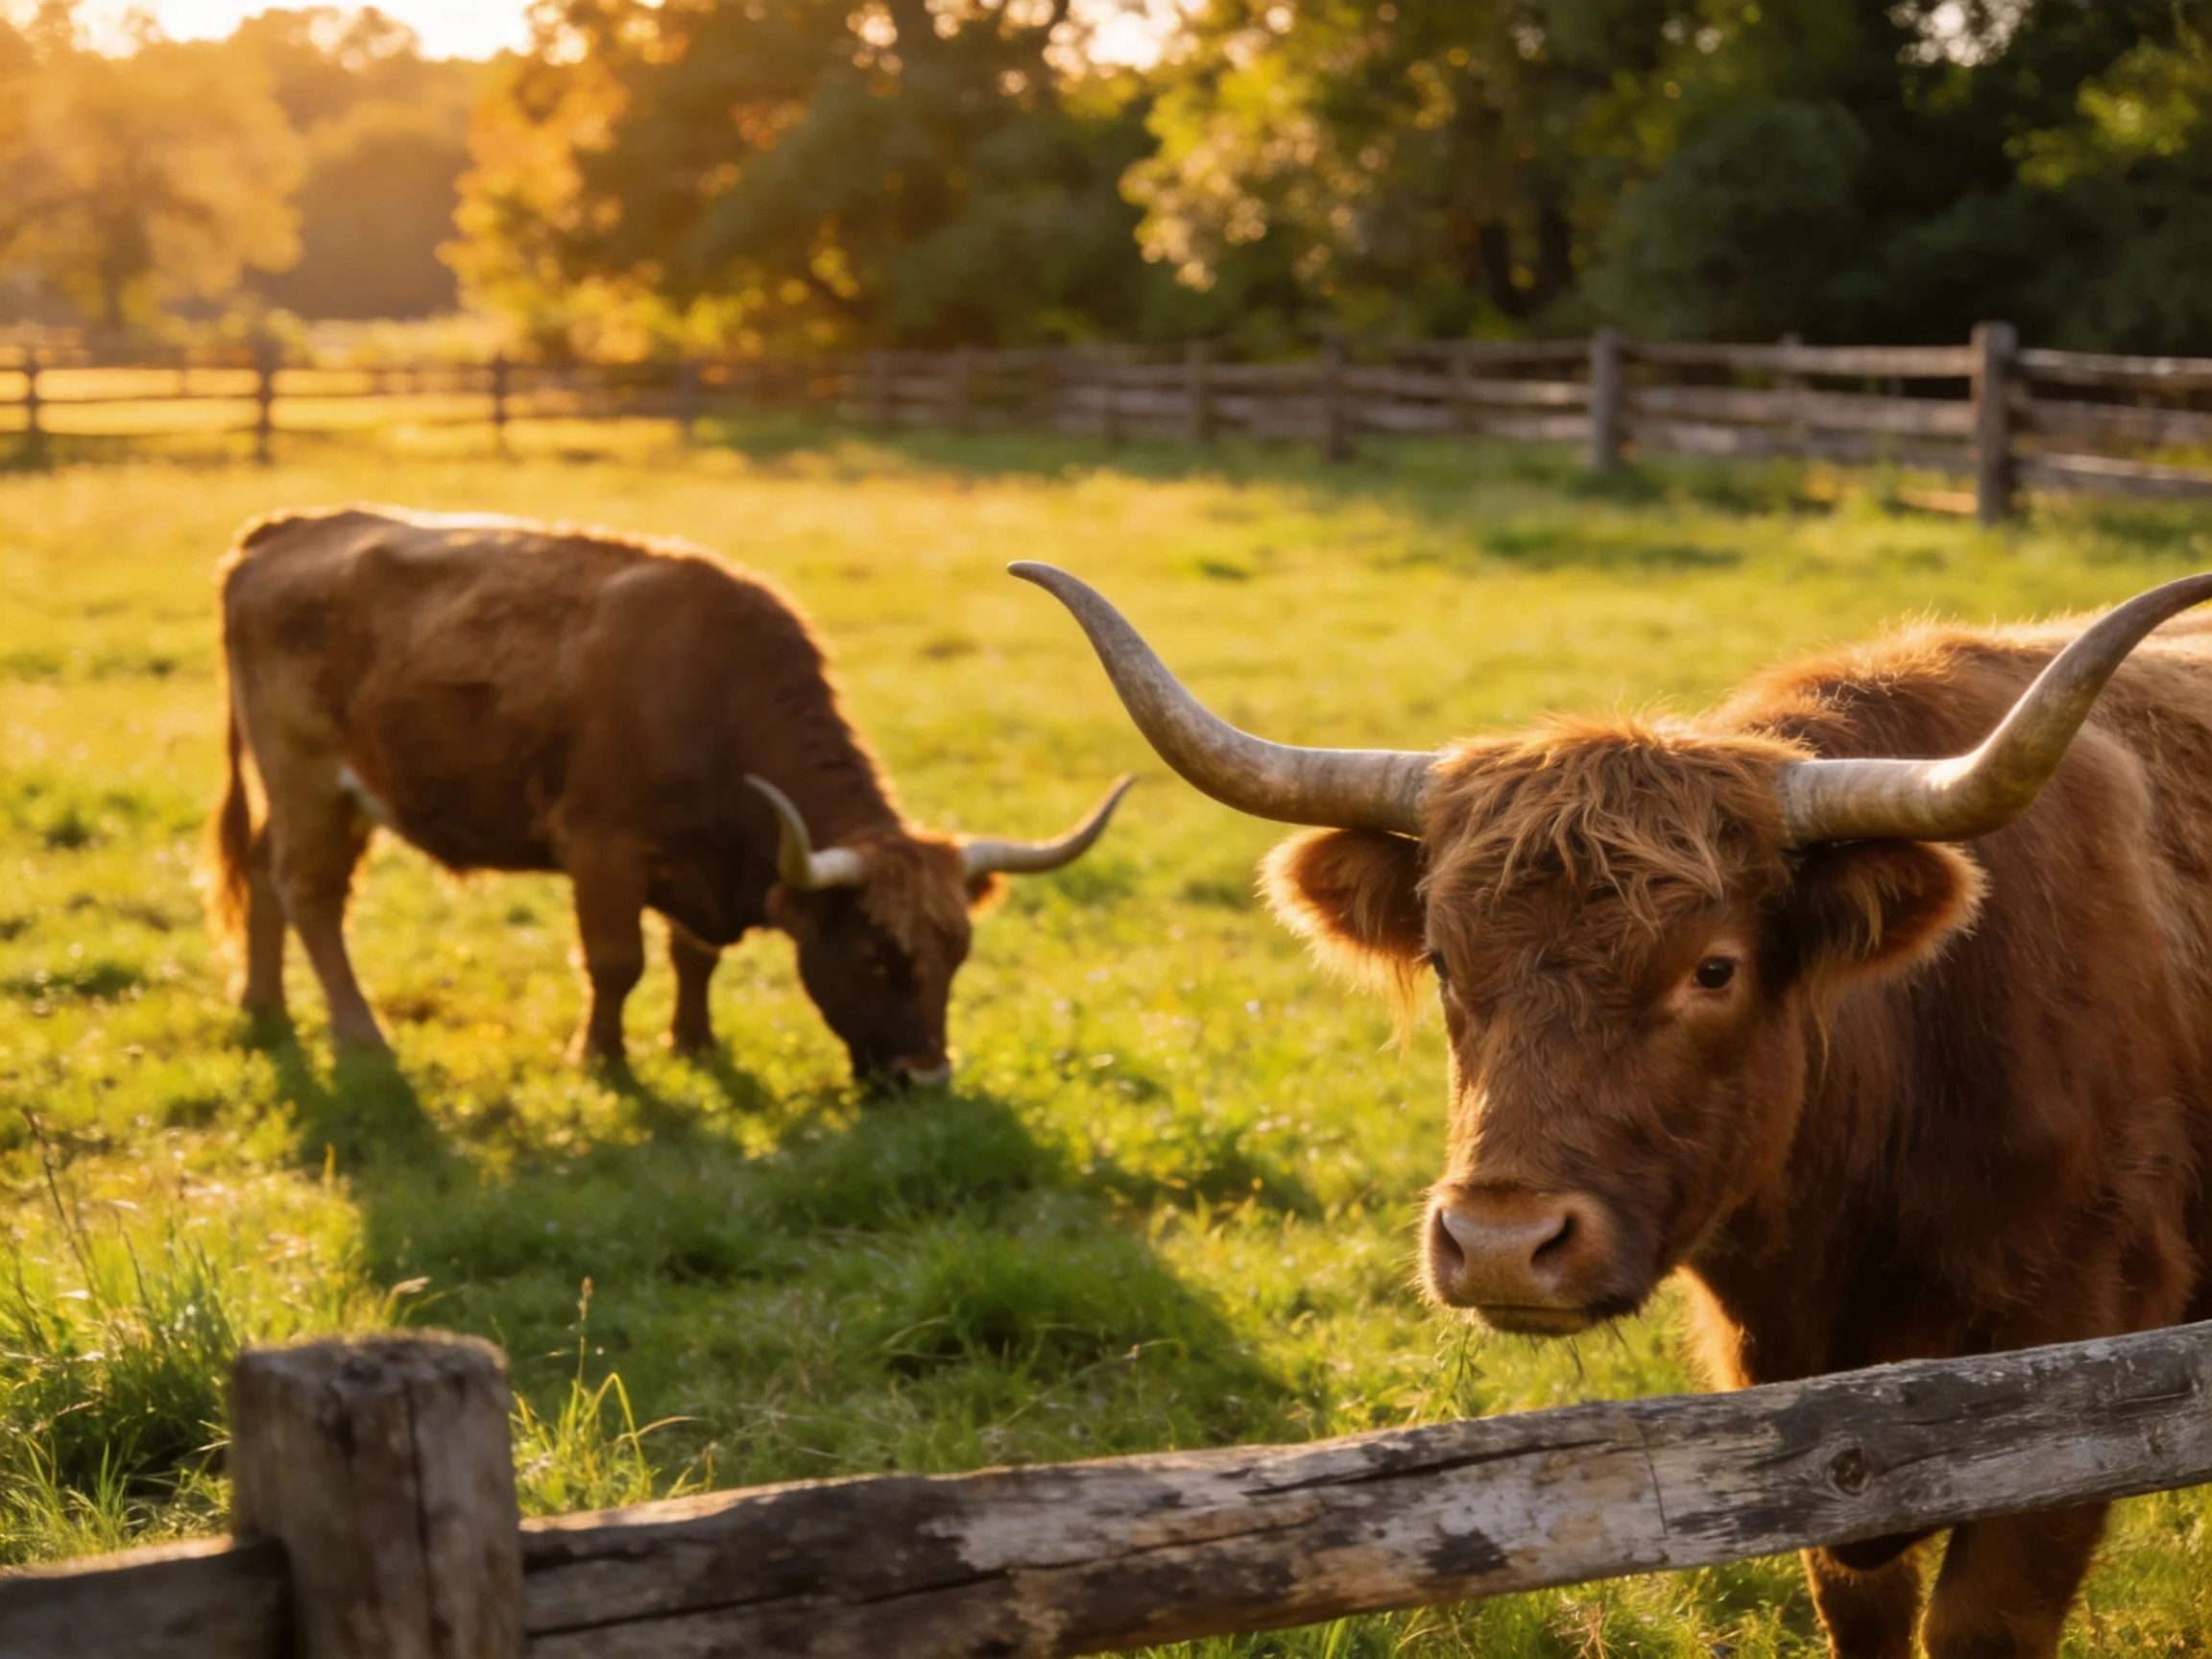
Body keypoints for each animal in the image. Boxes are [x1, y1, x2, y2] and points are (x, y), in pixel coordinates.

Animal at [204, 507, 1131, 1084]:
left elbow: (695, 957)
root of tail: (283, 531)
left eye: (957, 955)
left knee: (264, 875)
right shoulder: (602, 850)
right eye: (876, 955)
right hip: (308, 778)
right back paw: (360, 1035)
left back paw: (263, 1005)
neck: (711, 696)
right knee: (310, 894)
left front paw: (695, 1044)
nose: (928, 1077)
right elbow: (618, 962)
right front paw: (601, 1059)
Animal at [1015, 559, 2212, 1659]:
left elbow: (1978, 1620)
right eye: (1444, 961)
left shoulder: (2084, 1376)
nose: (1501, 1244)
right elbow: (1859, 1607)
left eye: (1715, 968)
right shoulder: (1833, 1445)